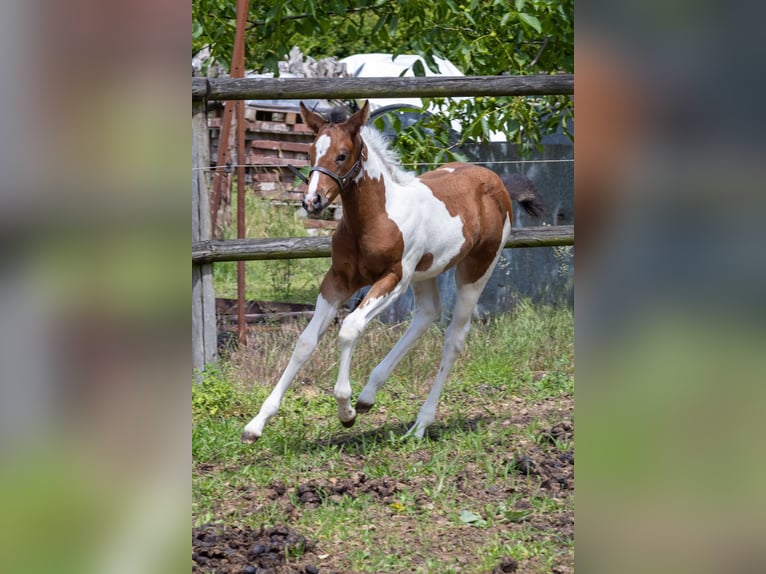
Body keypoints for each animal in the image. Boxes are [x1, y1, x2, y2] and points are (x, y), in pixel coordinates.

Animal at [241, 100, 544, 443]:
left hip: (476, 269)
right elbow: (306, 342)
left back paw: (419, 424)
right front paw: (256, 424)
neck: (374, 219)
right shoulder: (338, 280)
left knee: (454, 338)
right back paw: (369, 395)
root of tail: (498, 183)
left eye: (342, 155)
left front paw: (345, 411)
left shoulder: (394, 279)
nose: (312, 201)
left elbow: (350, 327)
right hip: (425, 273)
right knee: (427, 314)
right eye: (310, 153)